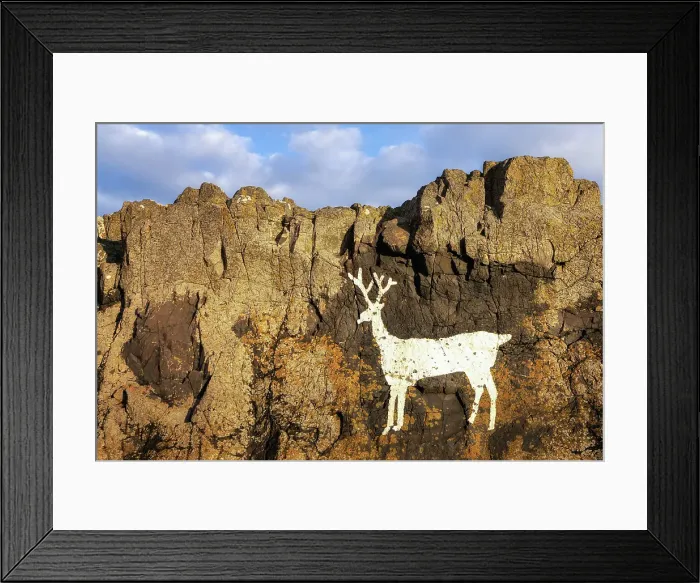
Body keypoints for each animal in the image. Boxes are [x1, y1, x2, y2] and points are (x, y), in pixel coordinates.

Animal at [348, 268, 512, 436]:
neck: (389, 346)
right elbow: (393, 399)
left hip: (478, 367)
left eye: (373, 311)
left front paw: (397, 426)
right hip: (481, 368)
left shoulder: (404, 377)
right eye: (366, 308)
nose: (359, 318)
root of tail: (498, 338)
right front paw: (388, 428)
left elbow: (400, 400)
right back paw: (486, 424)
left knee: (483, 389)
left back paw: (475, 421)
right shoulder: (392, 378)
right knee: (490, 390)